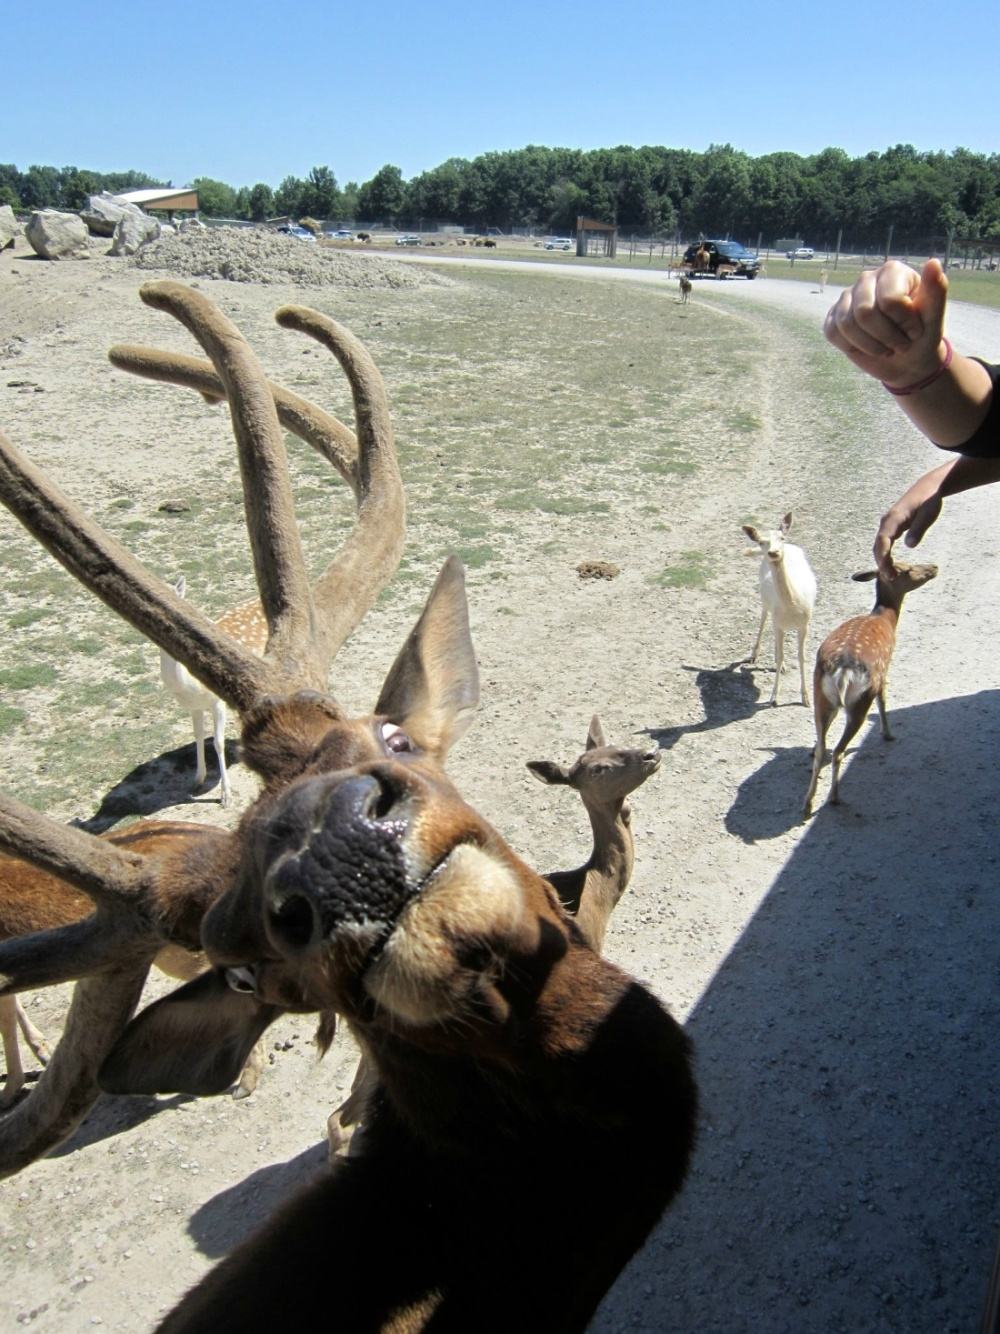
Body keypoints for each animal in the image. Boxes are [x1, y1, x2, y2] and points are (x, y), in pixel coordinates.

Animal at [746, 506, 816, 709]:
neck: (793, 606)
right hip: (764, 600)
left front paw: (806, 698)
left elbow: (801, 657)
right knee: (764, 619)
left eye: (782, 537)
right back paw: (754, 654)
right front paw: (773, 697)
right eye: (761, 542)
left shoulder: (805, 624)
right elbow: (780, 656)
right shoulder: (779, 623)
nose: (774, 552)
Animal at [805, 560, 944, 816]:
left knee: (823, 748)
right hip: (860, 699)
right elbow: (884, 700)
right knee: (838, 750)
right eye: (907, 569)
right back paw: (834, 798)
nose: (933, 567)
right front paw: (888, 733)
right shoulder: (883, 671)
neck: (885, 619)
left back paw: (808, 802)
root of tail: (843, 670)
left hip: (822, 695)